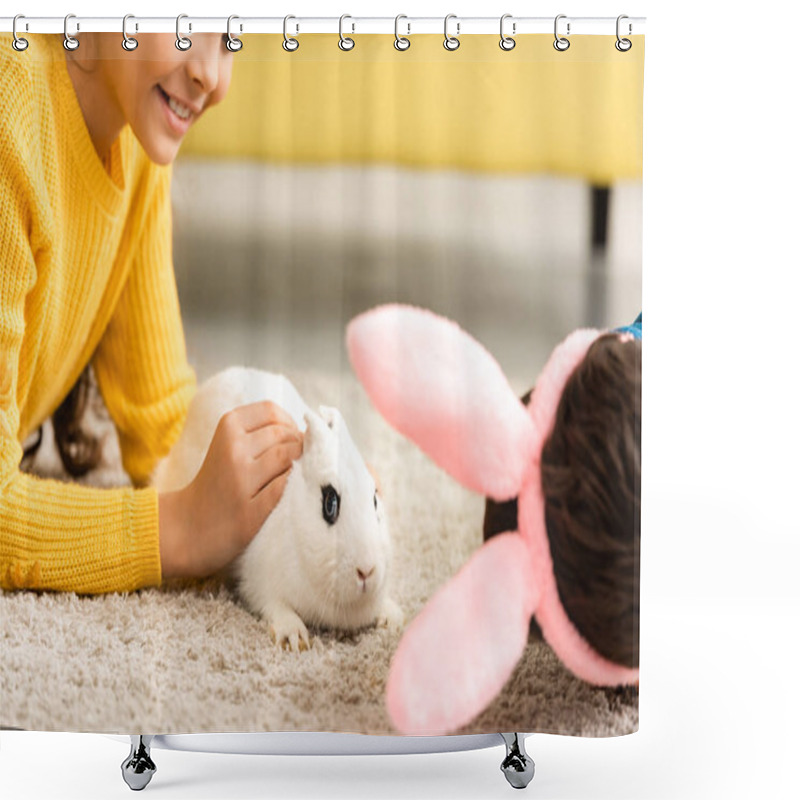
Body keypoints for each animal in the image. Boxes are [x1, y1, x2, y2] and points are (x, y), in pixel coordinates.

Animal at [151, 368, 404, 648]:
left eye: (374, 499)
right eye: (330, 504)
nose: (366, 571)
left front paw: (392, 618)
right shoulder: (258, 581)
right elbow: (273, 605)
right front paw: (293, 636)